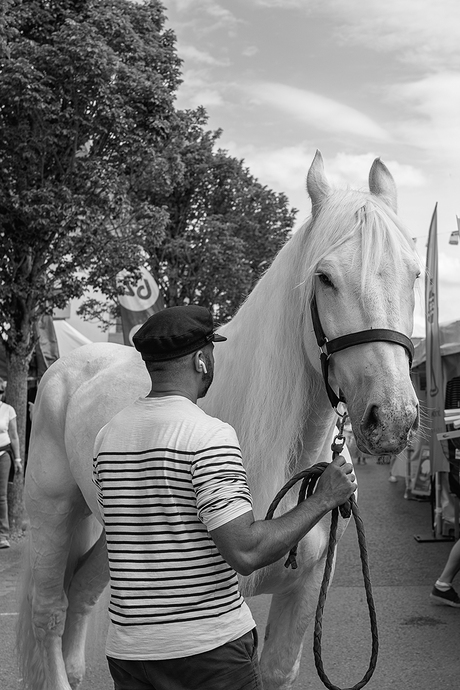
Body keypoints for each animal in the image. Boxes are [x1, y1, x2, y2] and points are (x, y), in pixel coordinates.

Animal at [17, 151, 420, 690]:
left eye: (414, 274)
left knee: (80, 594)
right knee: (49, 611)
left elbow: (278, 668)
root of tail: (64, 370)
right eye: (325, 278)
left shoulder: (303, 594)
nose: (392, 418)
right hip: (53, 514)